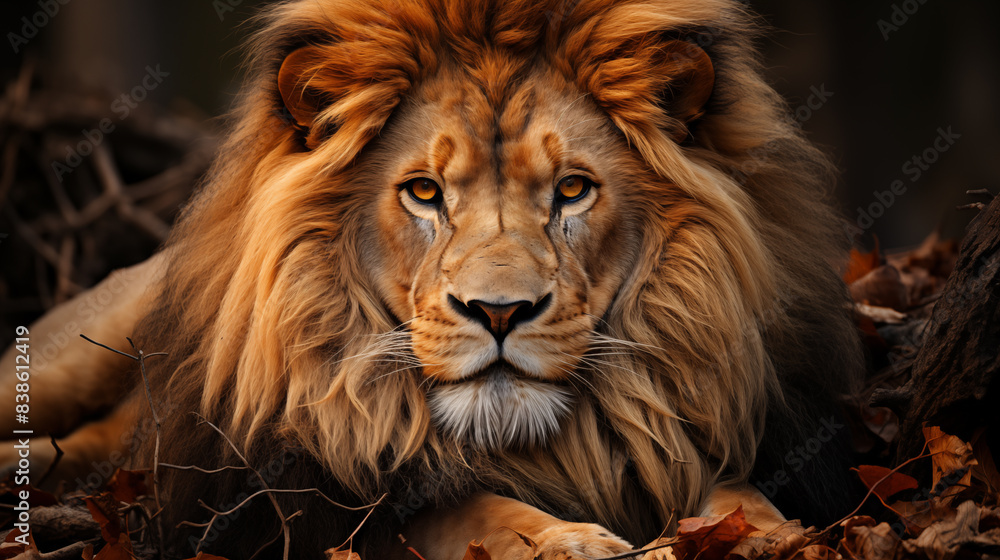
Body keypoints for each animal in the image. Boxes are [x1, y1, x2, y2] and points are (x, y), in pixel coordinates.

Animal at [0, 0, 864, 558]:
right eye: (423, 192)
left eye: (572, 189)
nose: (500, 311)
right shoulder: (299, 510)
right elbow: (466, 511)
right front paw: (568, 541)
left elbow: (736, 488)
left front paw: (772, 535)